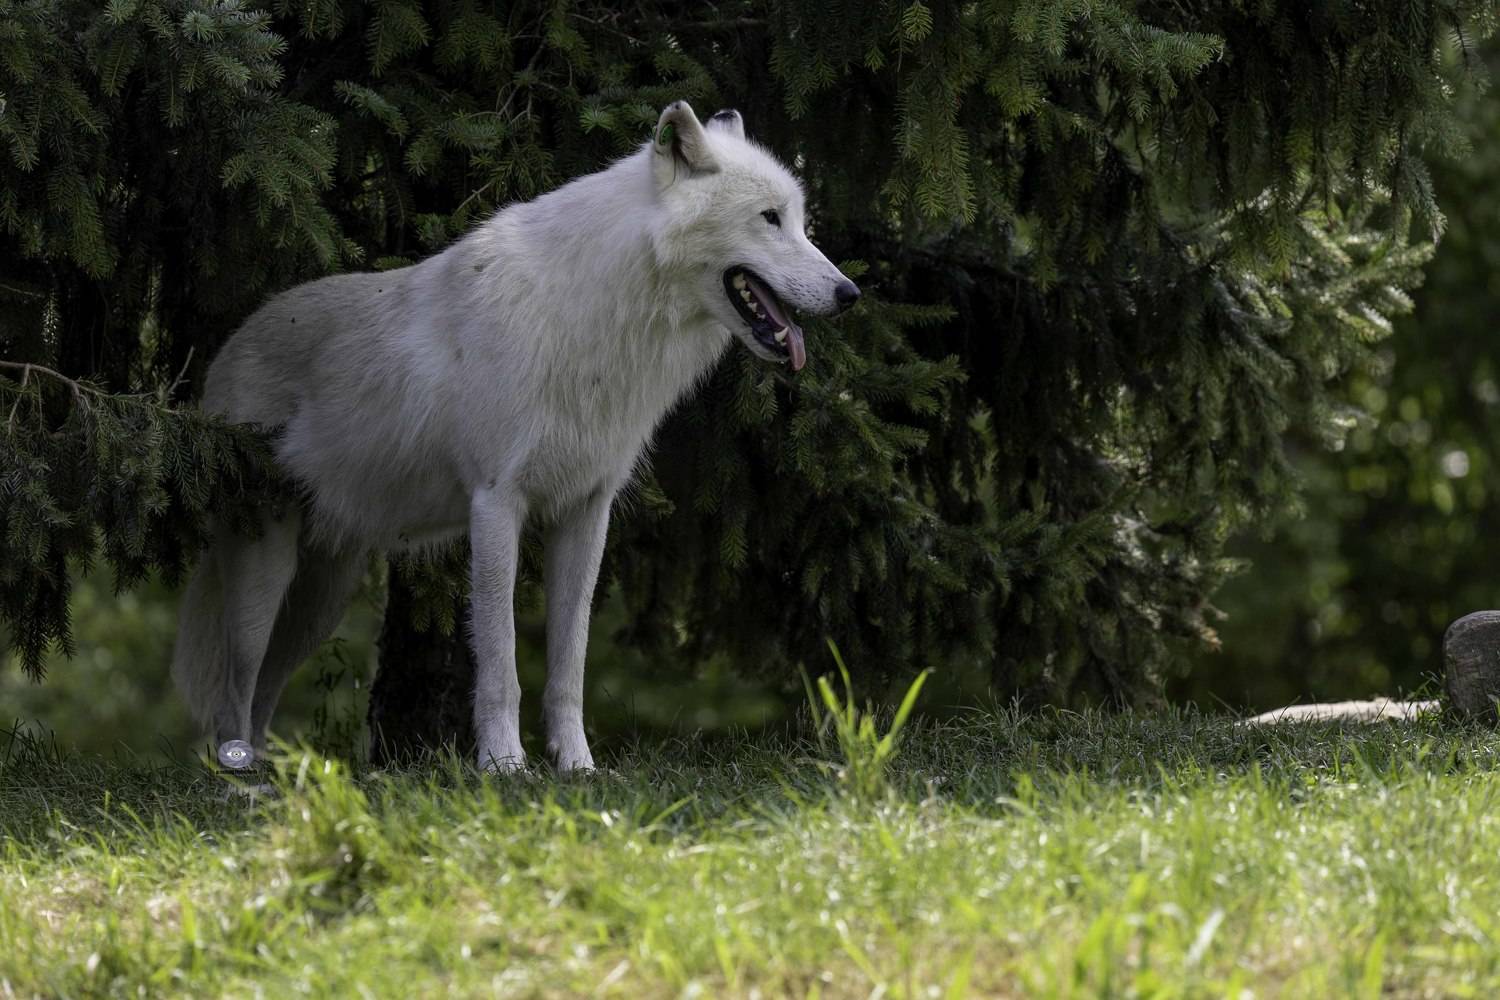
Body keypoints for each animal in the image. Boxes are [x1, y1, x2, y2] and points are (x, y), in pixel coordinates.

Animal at [171, 100, 859, 772]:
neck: (600, 316)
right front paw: (505, 767)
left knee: (261, 695)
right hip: (264, 580)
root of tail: (222, 357)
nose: (850, 293)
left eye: (802, 223)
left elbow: (569, 663)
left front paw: (577, 769)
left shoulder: (587, 511)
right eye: (769, 218)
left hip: (321, 600)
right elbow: (501, 662)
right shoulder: (497, 503)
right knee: (233, 691)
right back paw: (241, 783)